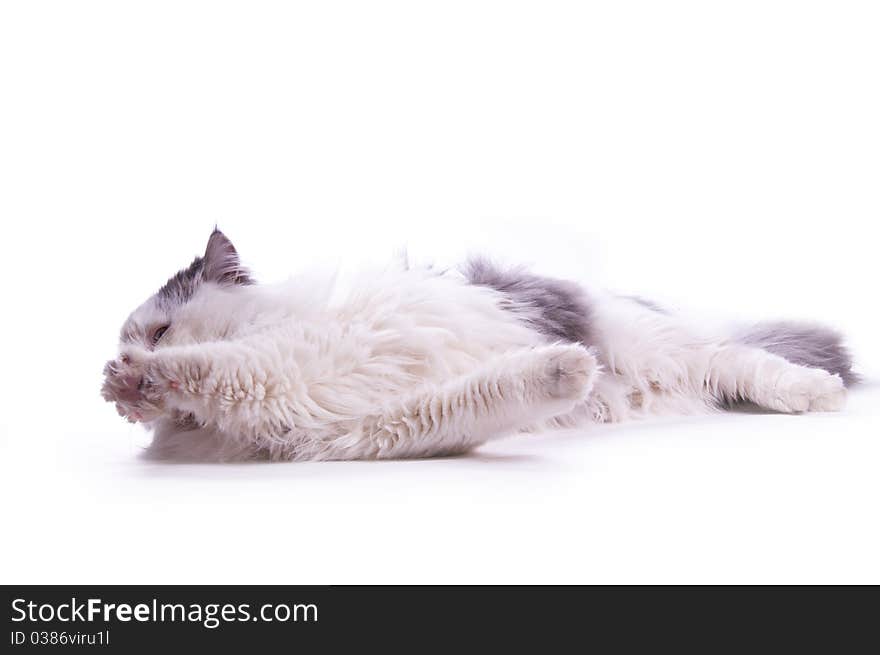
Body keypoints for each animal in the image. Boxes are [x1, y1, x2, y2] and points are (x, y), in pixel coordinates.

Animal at [101, 229, 852, 462]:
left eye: (159, 330)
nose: (122, 359)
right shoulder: (383, 426)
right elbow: (492, 392)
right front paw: (564, 373)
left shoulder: (303, 355)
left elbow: (226, 368)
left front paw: (136, 380)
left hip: (665, 344)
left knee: (742, 358)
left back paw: (818, 392)